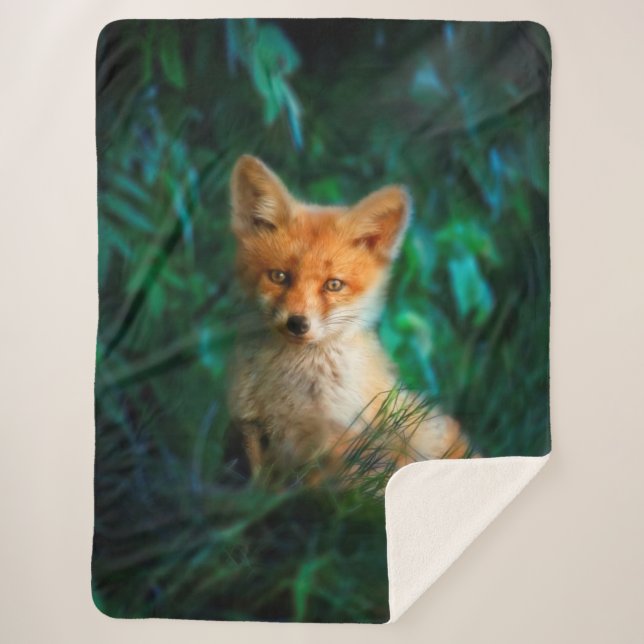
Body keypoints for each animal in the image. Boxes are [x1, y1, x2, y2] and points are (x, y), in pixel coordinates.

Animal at [227, 155, 475, 484]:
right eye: (279, 276)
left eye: (334, 285)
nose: (297, 324)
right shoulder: (250, 428)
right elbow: (257, 488)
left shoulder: (336, 443)